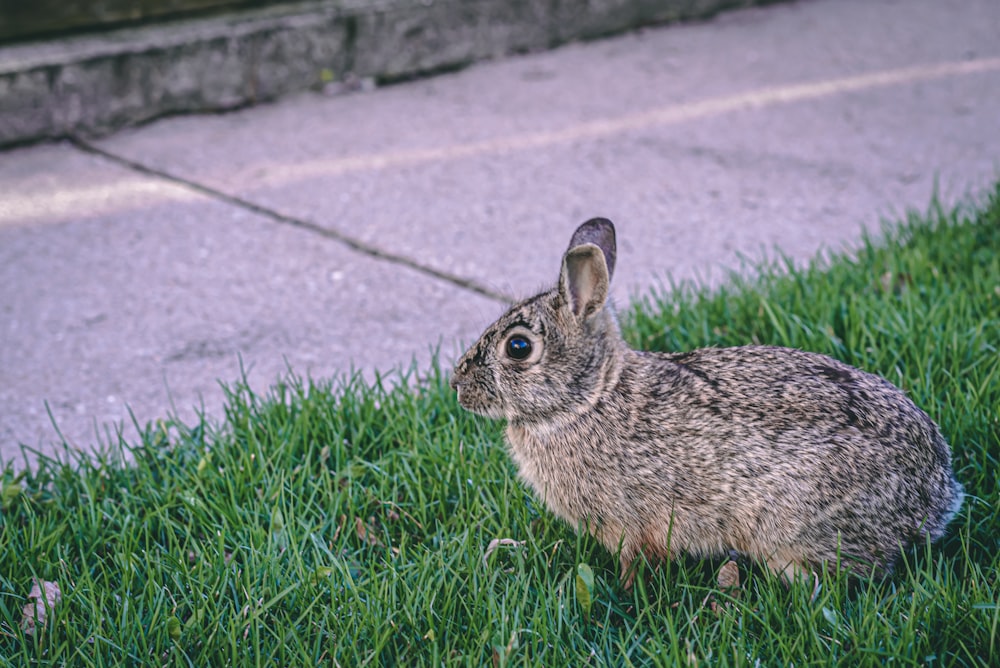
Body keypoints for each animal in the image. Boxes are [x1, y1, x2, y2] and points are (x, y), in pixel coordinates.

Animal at [452, 218, 960, 584]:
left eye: (518, 347)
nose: (457, 384)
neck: (589, 399)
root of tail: (935, 495)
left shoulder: (635, 524)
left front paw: (626, 593)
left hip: (790, 525)